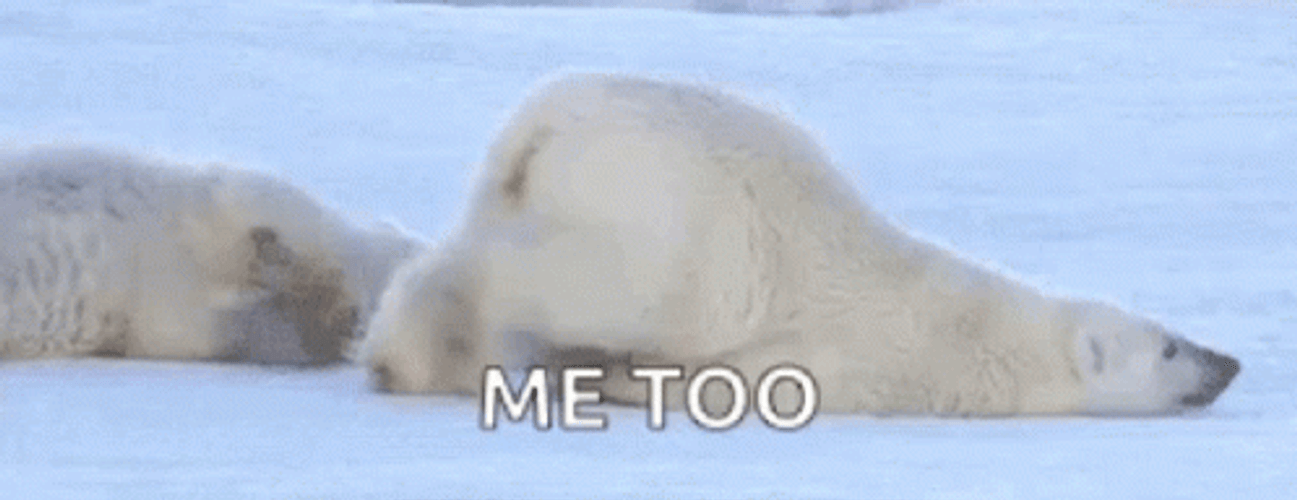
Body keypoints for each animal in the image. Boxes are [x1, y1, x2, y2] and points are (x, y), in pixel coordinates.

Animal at [359, 73, 1240, 416]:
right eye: (1168, 347)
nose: (1227, 363)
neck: (976, 333)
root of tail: (550, 116)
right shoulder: (853, 356)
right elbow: (735, 379)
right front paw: (616, 382)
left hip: (530, 180)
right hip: (676, 218)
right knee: (592, 284)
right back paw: (423, 356)